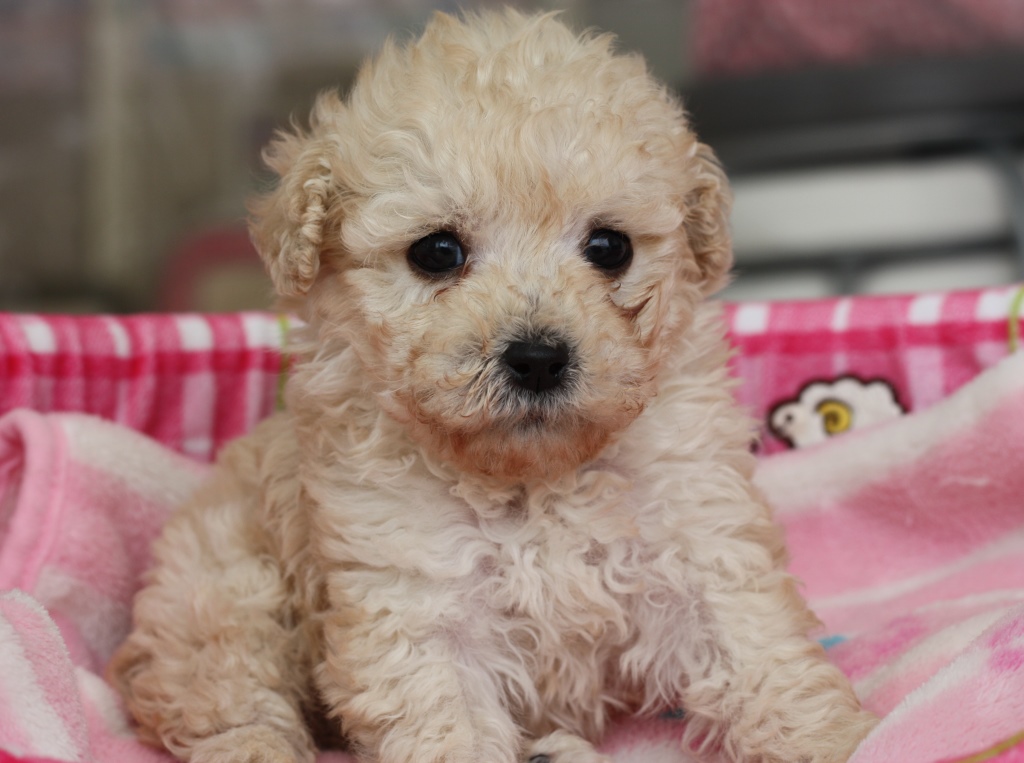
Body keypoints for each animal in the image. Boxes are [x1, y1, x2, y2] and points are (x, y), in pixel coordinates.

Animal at [109, 10, 877, 763]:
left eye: (611, 247)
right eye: (437, 251)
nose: (537, 357)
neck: (533, 482)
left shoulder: (699, 537)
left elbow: (759, 651)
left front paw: (832, 740)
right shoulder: (415, 602)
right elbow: (446, 720)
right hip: (223, 598)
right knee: (229, 697)